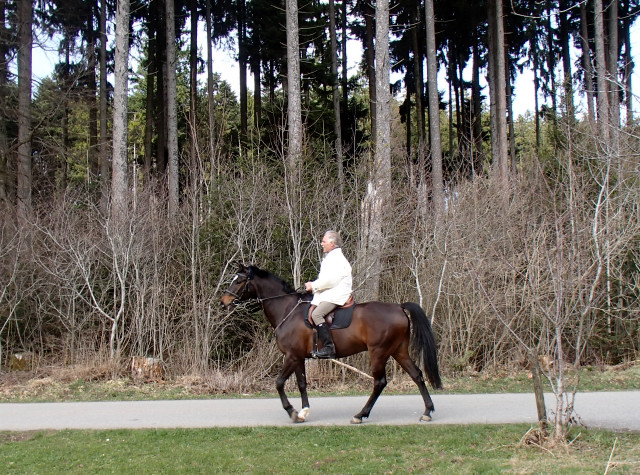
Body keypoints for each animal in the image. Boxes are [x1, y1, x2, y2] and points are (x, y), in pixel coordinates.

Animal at [220, 264, 440, 424]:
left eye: (239, 280)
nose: (224, 301)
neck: (287, 310)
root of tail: (399, 307)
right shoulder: (298, 357)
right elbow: (301, 383)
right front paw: (304, 412)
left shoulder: (291, 356)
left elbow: (279, 383)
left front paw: (292, 412)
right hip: (398, 351)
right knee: (417, 375)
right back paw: (427, 411)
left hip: (379, 353)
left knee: (379, 382)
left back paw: (360, 415)